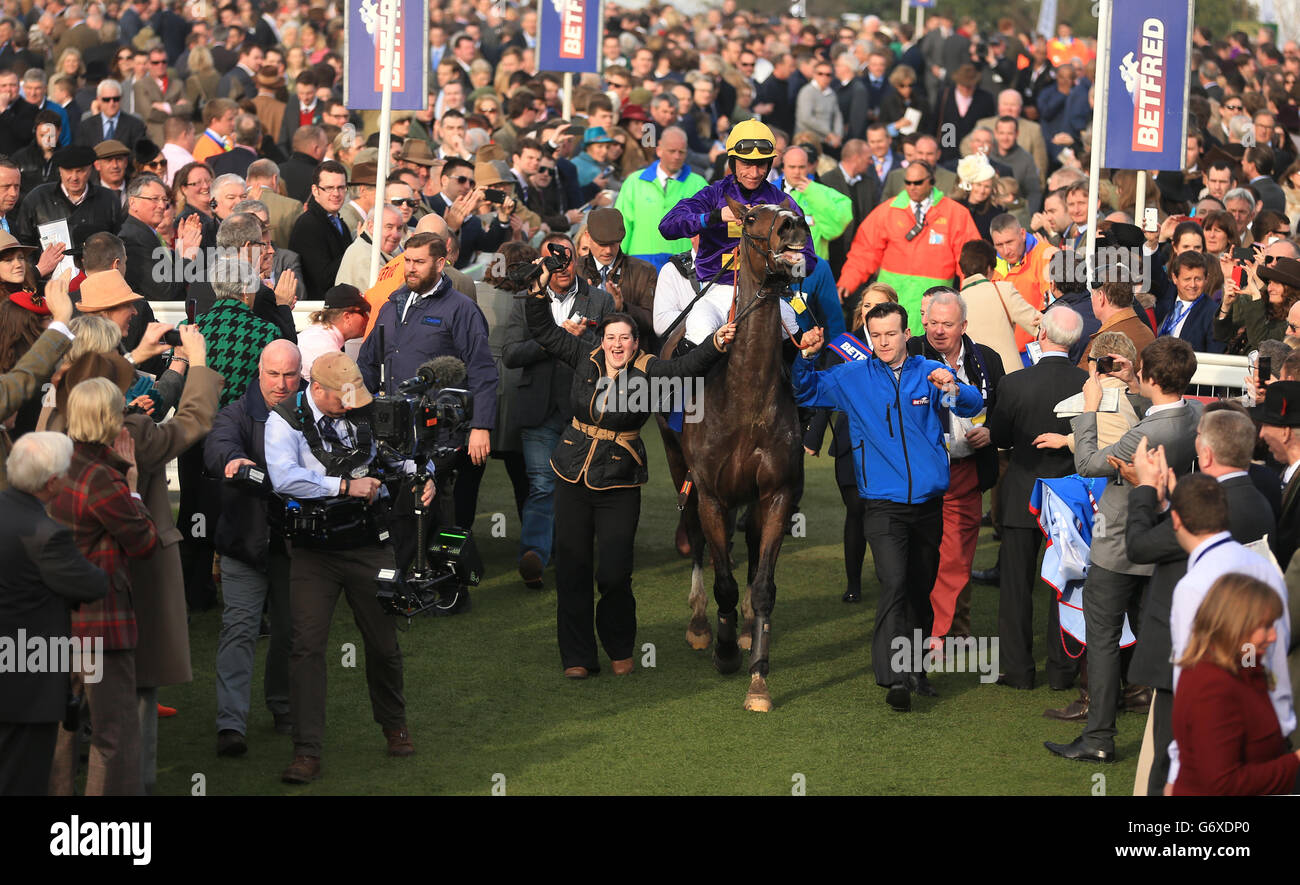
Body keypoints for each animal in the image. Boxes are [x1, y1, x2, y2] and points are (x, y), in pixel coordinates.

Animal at [660, 196, 811, 706]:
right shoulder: (709, 492)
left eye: (789, 206)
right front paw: (723, 650)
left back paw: (743, 629)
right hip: (677, 464)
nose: (792, 226)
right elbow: (722, 576)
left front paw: (758, 676)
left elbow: (762, 585)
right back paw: (701, 623)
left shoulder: (778, 492)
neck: (746, 399)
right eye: (747, 218)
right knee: (698, 536)